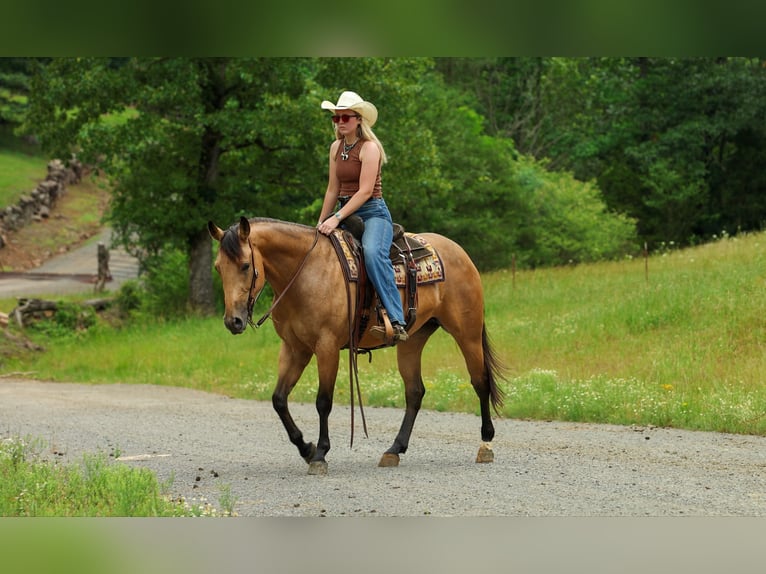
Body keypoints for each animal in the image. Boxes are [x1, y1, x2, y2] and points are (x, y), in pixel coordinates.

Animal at [208, 216, 506, 475]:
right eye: (218, 267)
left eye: (245, 265)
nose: (233, 321)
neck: (306, 273)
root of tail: (458, 251)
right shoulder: (294, 348)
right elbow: (279, 399)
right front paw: (306, 448)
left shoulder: (326, 347)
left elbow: (323, 402)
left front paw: (320, 454)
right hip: (412, 340)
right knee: (415, 392)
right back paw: (394, 450)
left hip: (467, 333)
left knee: (480, 381)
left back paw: (486, 444)